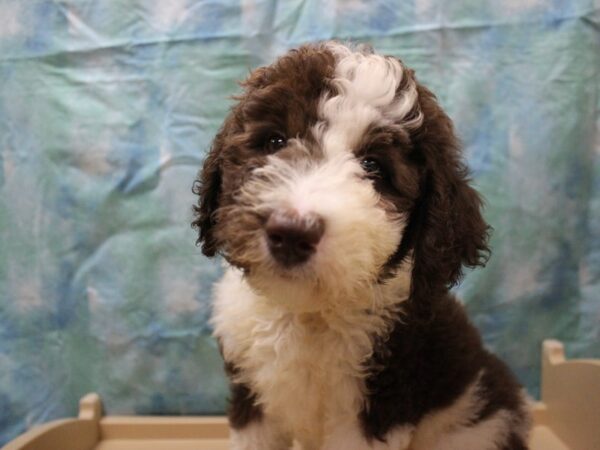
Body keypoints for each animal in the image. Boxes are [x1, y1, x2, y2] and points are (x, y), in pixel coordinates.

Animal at [191, 42, 528, 450]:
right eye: (275, 141)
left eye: (374, 168)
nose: (292, 233)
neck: (307, 313)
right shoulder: (251, 396)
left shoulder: (378, 408)